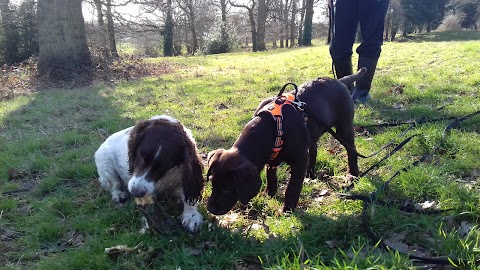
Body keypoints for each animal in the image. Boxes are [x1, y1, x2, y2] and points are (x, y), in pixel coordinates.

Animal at [204, 69, 366, 215]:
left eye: (227, 188)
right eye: (211, 182)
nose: (210, 209)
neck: (270, 127)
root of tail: (340, 81)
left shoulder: (299, 159)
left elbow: (292, 187)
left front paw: (287, 209)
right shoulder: (272, 158)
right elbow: (270, 176)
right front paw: (268, 194)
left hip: (344, 128)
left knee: (351, 150)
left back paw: (352, 175)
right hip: (312, 132)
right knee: (314, 149)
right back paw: (310, 173)